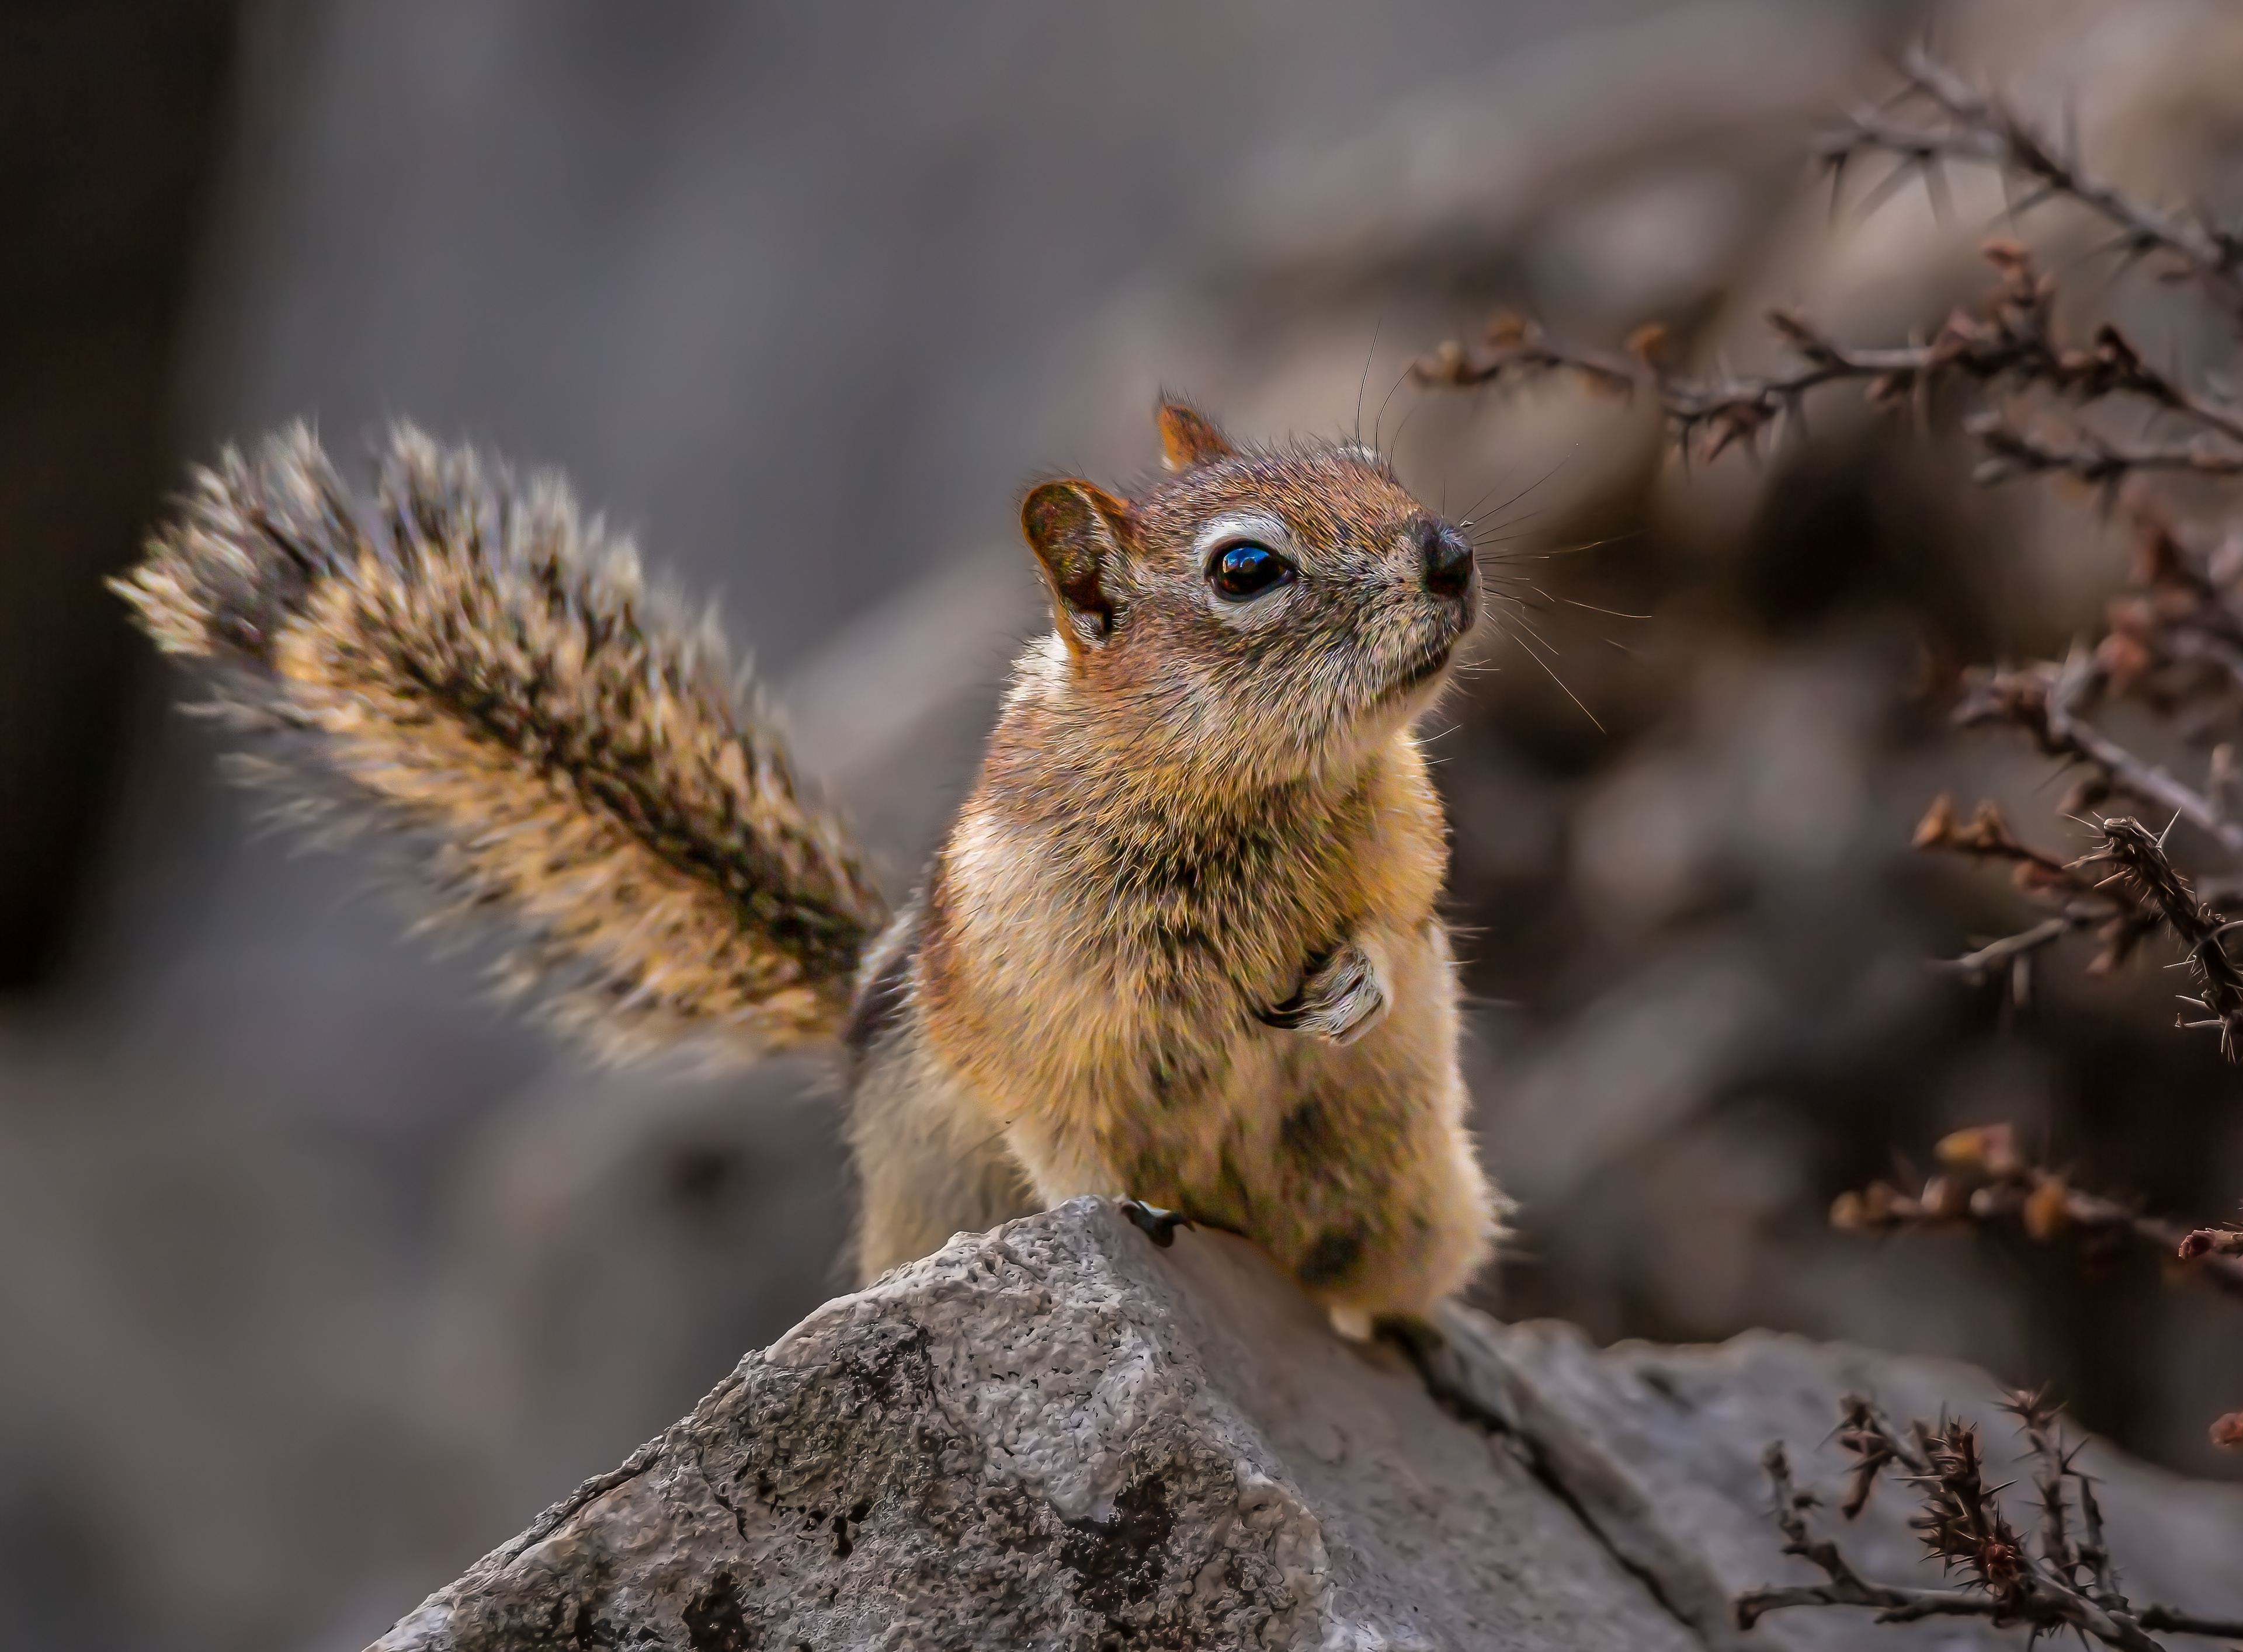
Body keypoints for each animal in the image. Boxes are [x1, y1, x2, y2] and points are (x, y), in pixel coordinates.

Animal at [114, 401, 1501, 1337]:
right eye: (1246, 569)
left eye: (1376, 468)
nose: (1450, 551)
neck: (1255, 790)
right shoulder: (1036, 1014)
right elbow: (1061, 1130)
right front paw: (1123, 1207)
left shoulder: (1406, 840)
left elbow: (1399, 917)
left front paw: (1358, 985)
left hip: (1409, 1194)